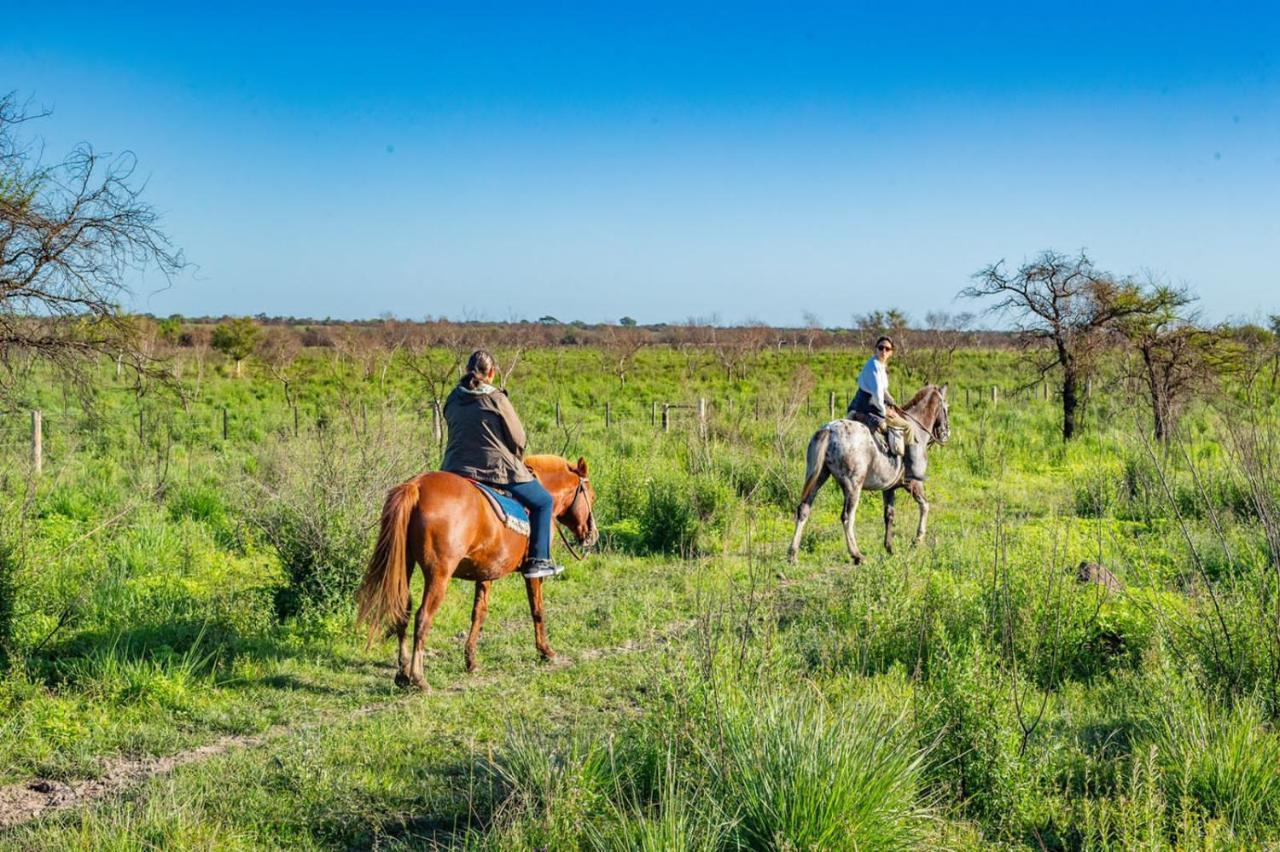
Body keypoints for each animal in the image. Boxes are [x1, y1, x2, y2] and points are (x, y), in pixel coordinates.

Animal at [355, 455, 593, 685]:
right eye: (591, 496)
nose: (591, 535)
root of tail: (417, 485)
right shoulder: (533, 574)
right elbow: (537, 609)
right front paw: (545, 651)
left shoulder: (486, 573)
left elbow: (479, 613)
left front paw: (471, 660)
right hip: (438, 574)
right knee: (422, 617)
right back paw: (419, 678)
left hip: (405, 565)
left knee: (402, 610)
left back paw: (403, 673)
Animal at [783, 383, 947, 557]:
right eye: (946, 408)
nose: (945, 433)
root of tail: (829, 430)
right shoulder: (914, 483)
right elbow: (925, 506)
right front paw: (918, 540)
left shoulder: (889, 488)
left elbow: (889, 515)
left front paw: (889, 548)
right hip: (853, 486)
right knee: (847, 517)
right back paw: (856, 555)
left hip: (818, 477)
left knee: (804, 509)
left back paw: (792, 554)